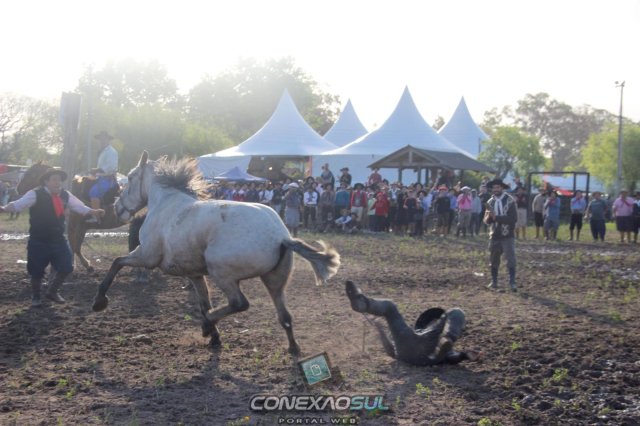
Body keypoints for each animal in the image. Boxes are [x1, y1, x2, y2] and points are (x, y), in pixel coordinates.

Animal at [92, 152, 341, 355]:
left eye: (131, 177)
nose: (117, 208)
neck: (165, 205)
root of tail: (281, 236)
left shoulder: (147, 256)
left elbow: (117, 262)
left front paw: (99, 301)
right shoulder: (194, 274)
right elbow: (204, 303)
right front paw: (215, 338)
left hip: (223, 274)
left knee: (240, 303)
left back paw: (206, 326)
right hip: (274, 280)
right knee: (284, 316)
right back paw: (293, 347)